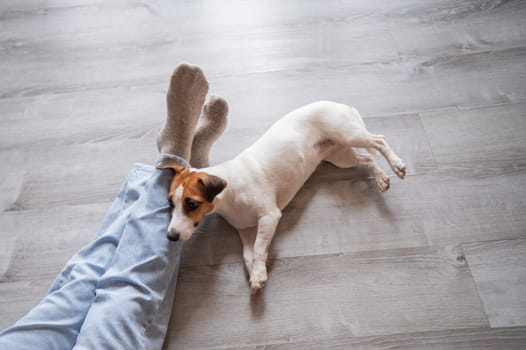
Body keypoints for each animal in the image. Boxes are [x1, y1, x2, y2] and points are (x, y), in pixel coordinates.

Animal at [159, 100, 406, 294]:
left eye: (192, 203)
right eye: (170, 202)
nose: (170, 236)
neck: (230, 190)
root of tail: (339, 104)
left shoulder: (270, 215)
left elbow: (260, 248)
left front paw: (259, 272)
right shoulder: (246, 231)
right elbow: (250, 254)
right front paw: (256, 273)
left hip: (349, 134)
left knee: (379, 140)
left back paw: (397, 164)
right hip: (340, 156)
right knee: (368, 159)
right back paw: (381, 178)